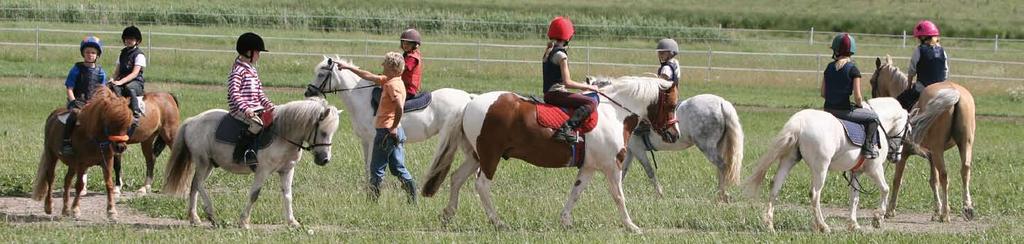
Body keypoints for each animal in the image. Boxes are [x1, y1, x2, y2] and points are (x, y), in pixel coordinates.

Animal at [31, 87, 134, 219]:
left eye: (128, 124)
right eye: (110, 122)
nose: (120, 147)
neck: (94, 137)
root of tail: (53, 115)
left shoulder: (107, 161)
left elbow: (109, 184)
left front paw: (111, 211)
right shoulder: (82, 163)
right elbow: (79, 185)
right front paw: (75, 209)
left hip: (72, 164)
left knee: (67, 181)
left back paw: (65, 209)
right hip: (51, 156)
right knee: (51, 178)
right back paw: (49, 206)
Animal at [159, 97, 342, 228]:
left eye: (332, 132)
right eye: (323, 132)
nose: (324, 159)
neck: (282, 134)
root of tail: (192, 121)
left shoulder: (287, 170)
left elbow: (288, 195)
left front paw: (292, 222)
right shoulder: (263, 171)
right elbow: (254, 194)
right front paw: (244, 222)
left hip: (209, 164)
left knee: (194, 186)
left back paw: (195, 219)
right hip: (203, 162)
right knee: (197, 183)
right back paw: (210, 214)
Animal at [303, 56, 475, 180]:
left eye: (321, 74)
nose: (308, 92)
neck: (362, 99)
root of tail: (468, 98)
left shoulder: (374, 140)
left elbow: (373, 166)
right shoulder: (365, 141)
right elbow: (367, 166)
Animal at [741, 97, 909, 232]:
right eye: (908, 129)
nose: (896, 157)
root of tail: (800, 122)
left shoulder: (856, 172)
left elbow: (854, 197)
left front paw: (853, 224)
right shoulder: (874, 169)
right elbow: (885, 189)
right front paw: (878, 219)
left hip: (789, 160)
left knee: (775, 187)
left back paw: (769, 225)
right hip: (820, 168)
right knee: (815, 194)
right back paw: (823, 226)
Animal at [868, 55, 978, 223]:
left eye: (872, 81)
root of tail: (955, 94)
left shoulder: (903, 154)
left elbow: (897, 180)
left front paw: (890, 210)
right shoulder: (931, 156)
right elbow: (933, 181)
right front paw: (936, 211)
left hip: (939, 150)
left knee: (945, 175)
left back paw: (946, 214)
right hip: (965, 144)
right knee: (965, 170)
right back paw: (967, 208)